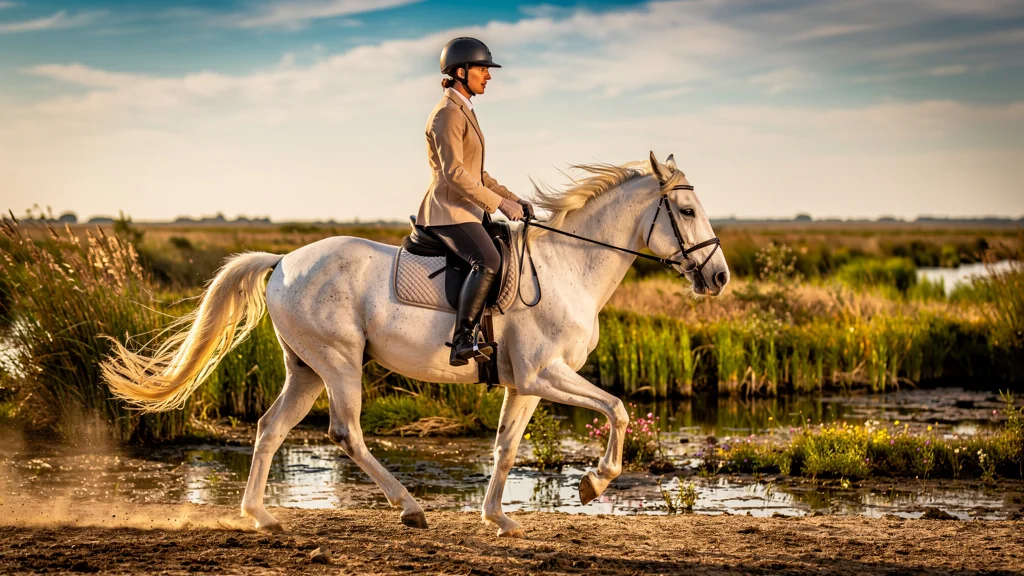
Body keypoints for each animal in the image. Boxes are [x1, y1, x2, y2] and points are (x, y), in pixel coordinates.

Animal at [102, 152, 730, 538]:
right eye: (687, 210)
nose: (719, 277)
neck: (567, 267)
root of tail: (282, 261)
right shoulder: (543, 374)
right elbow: (618, 409)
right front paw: (593, 482)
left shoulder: (523, 385)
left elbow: (505, 448)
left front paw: (498, 519)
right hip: (338, 364)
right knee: (346, 433)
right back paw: (409, 508)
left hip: (304, 369)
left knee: (269, 429)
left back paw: (261, 516)